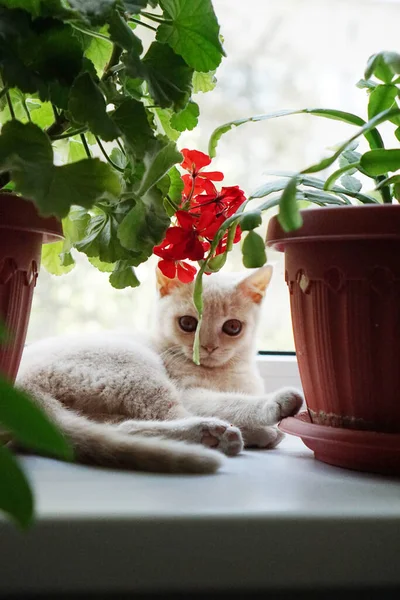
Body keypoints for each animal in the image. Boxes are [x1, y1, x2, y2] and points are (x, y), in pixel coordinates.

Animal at [15, 268, 304, 474]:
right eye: (187, 323)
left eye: (233, 327)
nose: (208, 347)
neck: (224, 372)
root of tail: (19, 385)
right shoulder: (190, 393)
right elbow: (230, 402)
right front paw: (274, 405)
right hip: (135, 365)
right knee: (167, 416)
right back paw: (216, 435)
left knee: (125, 428)